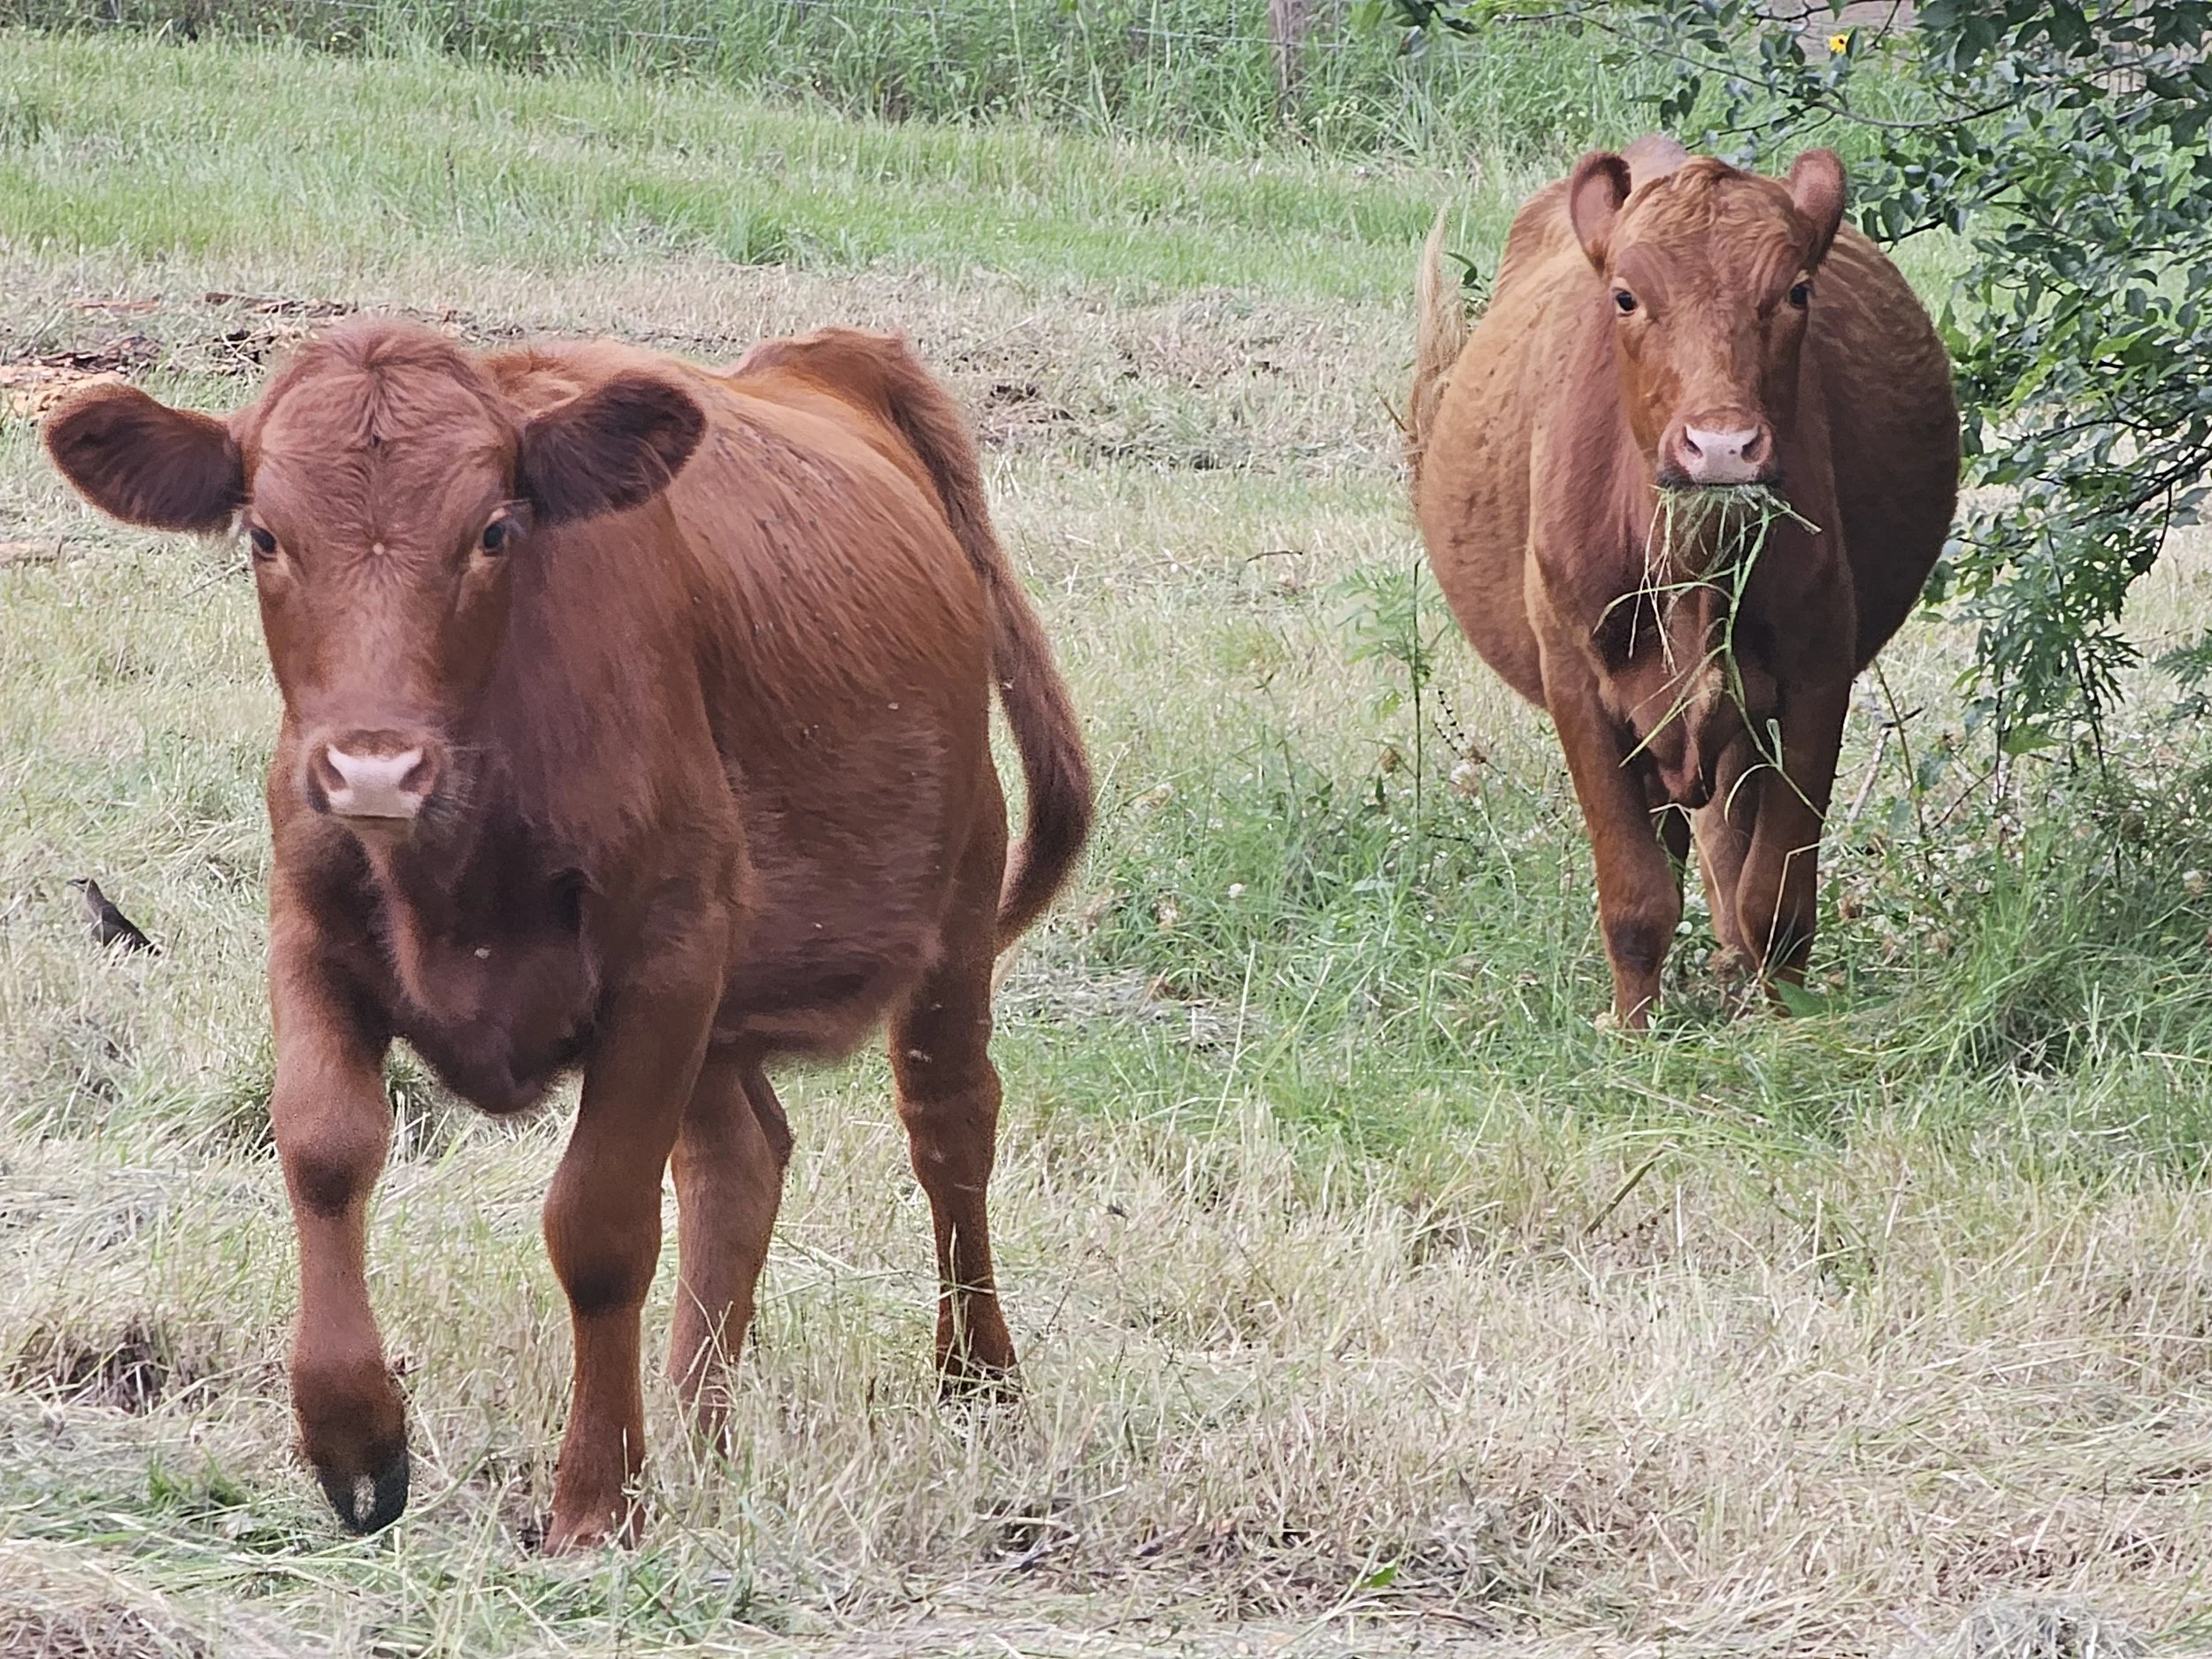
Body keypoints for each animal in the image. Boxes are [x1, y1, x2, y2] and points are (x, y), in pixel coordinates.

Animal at [44, 318, 1093, 1550]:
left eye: (495, 530)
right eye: (263, 534)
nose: (371, 770)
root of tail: (828, 358)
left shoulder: (664, 964)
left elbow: (599, 1228)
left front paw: (596, 1500)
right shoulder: (307, 932)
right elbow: (324, 1152)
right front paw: (355, 1439)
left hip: (956, 901)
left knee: (949, 1131)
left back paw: (978, 1382)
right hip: (728, 1004)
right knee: (739, 1159)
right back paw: (695, 1426)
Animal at [1407, 137, 1957, 1026]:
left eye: (1796, 290)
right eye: (1625, 297)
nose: (1722, 446)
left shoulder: (1818, 673)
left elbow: (1777, 894)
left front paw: (1786, 1023)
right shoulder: (1576, 684)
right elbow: (1637, 898)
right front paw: (1635, 1031)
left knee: (1729, 843)